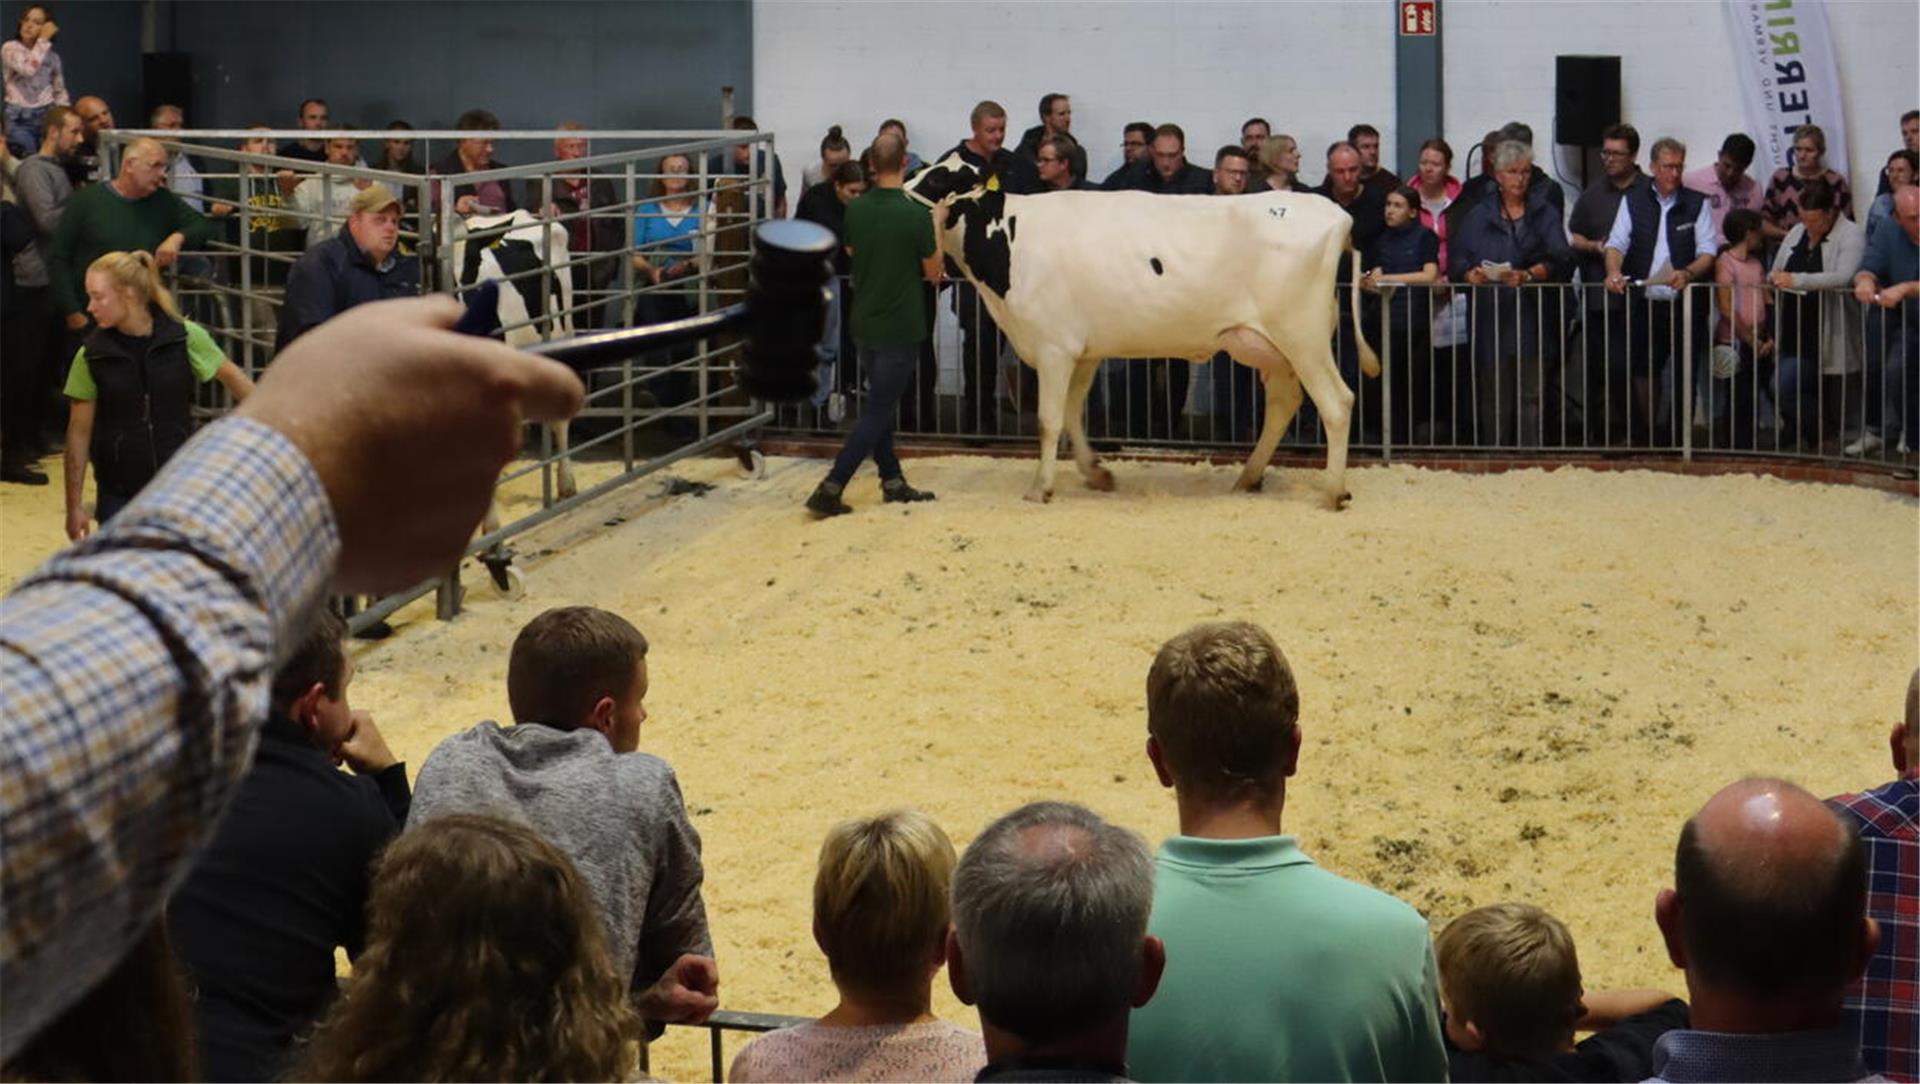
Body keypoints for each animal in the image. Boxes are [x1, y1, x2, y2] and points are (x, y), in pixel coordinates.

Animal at [902, 153, 1374, 506]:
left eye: (938, 179)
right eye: (918, 171)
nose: (894, 194)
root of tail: (1337, 215)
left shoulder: (1054, 347)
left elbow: (1049, 419)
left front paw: (1040, 487)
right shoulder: (1083, 350)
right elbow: (1073, 412)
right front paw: (1096, 474)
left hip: (1303, 337)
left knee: (1337, 401)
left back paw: (1333, 492)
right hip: (1269, 346)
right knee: (1283, 402)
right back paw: (1248, 477)